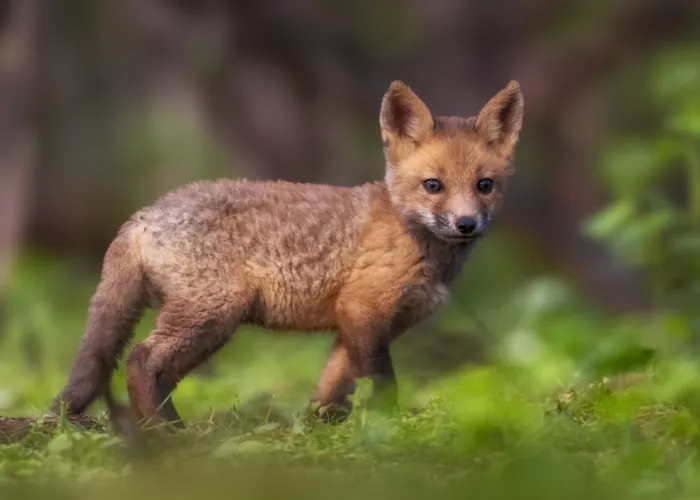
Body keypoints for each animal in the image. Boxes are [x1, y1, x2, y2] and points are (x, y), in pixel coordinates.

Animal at [50, 79, 524, 432]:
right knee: (140, 361)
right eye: (433, 185)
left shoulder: (357, 324)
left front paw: (322, 428)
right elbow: (383, 380)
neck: (413, 239)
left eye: (484, 185)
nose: (466, 224)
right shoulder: (364, 309)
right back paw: (170, 435)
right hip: (212, 316)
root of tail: (145, 213)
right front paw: (391, 423)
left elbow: (333, 385)